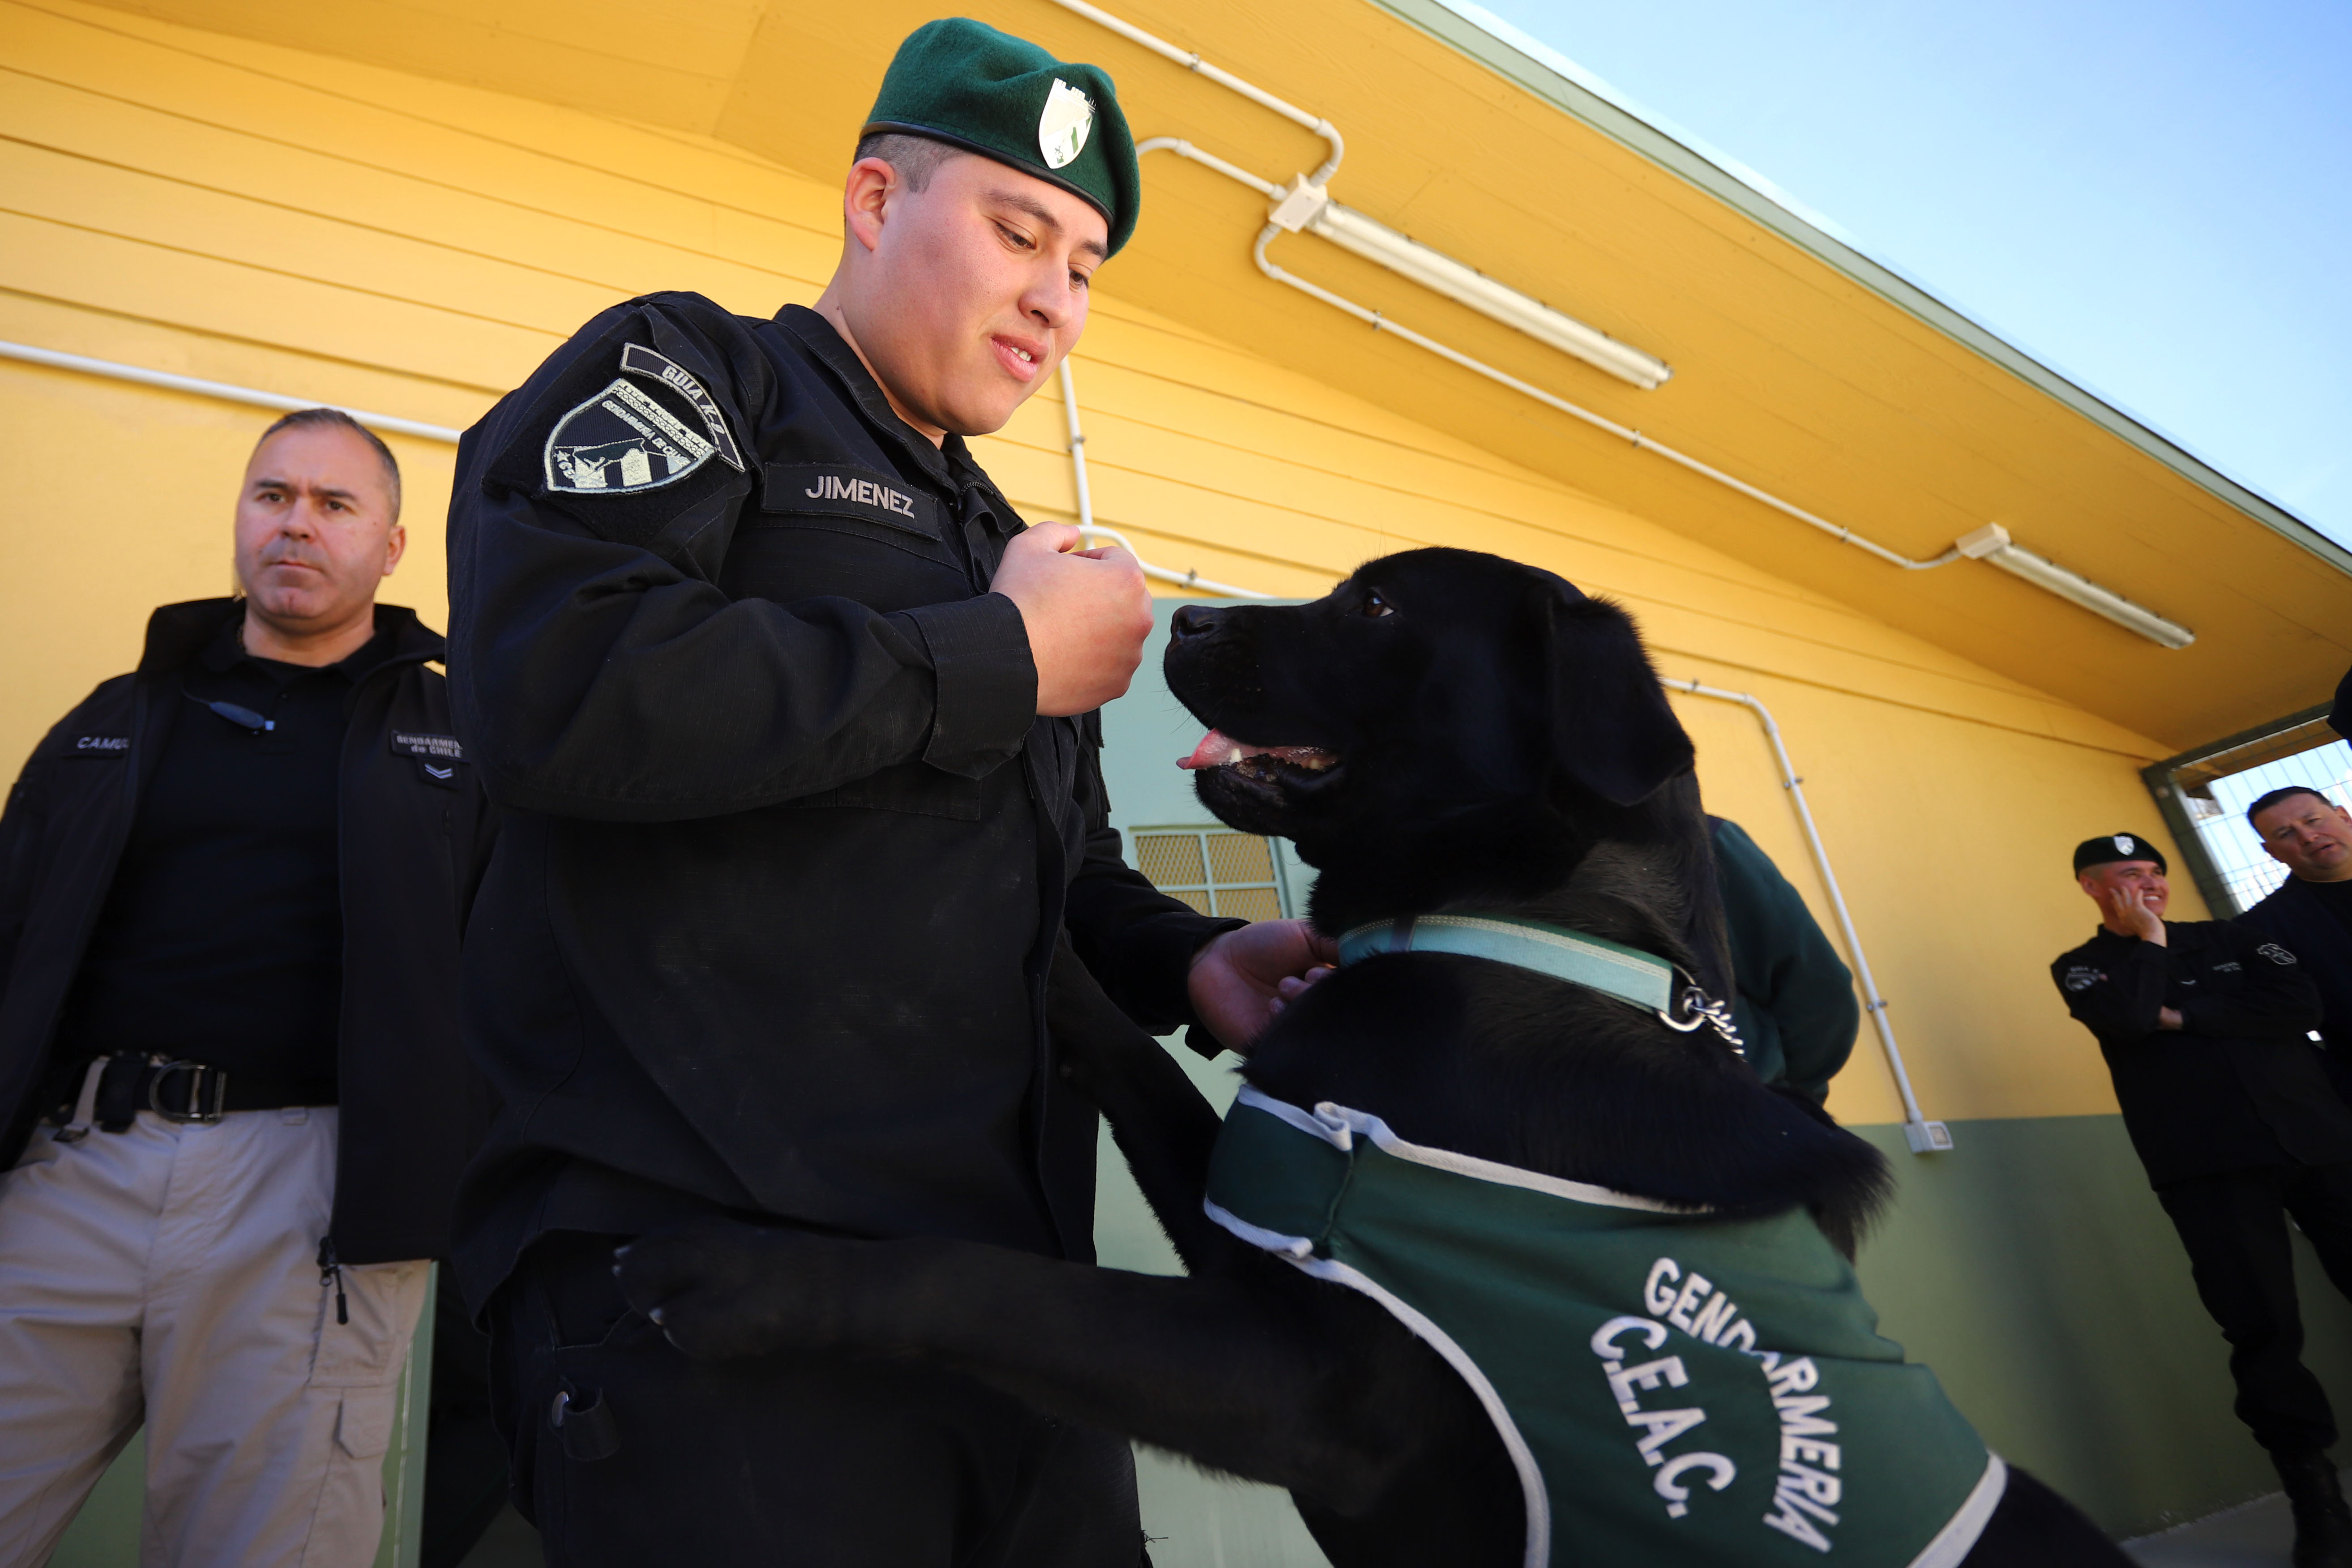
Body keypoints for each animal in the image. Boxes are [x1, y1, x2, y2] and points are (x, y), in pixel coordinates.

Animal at [618, 548, 2129, 1565]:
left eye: (1380, 608)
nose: (1186, 612)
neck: (1514, 934)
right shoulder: (1258, 1208)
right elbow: (1139, 1062)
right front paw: (1047, 940)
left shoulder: (1311, 1385)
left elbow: (991, 1284)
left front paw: (741, 1275)